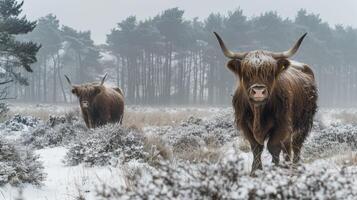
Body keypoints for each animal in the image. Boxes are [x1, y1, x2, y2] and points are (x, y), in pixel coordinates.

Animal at [214, 32, 318, 174]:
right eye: (247, 73)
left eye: (270, 72)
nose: (258, 91)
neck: (258, 111)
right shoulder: (245, 125)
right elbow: (256, 148)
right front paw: (255, 172)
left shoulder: (282, 124)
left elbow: (273, 146)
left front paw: (274, 170)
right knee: (287, 147)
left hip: (303, 123)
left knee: (296, 145)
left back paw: (295, 168)